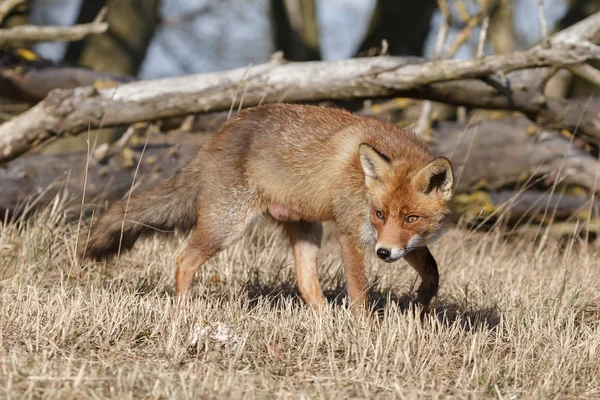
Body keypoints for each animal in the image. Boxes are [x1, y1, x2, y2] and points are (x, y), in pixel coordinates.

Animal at [79, 103, 454, 312]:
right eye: (379, 213)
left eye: (411, 218)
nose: (383, 255)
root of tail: (215, 137)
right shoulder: (353, 234)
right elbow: (360, 294)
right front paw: (364, 333)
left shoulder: (400, 241)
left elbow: (432, 268)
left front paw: (423, 301)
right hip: (226, 227)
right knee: (184, 260)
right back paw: (181, 312)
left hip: (307, 230)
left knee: (306, 285)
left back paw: (326, 323)